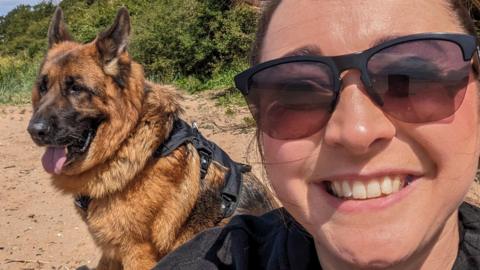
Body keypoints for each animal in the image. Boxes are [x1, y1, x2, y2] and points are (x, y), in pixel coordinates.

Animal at [28, 7, 276, 268]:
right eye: (43, 87)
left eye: (76, 88)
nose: (35, 130)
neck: (128, 142)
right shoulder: (111, 251)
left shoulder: (138, 253)